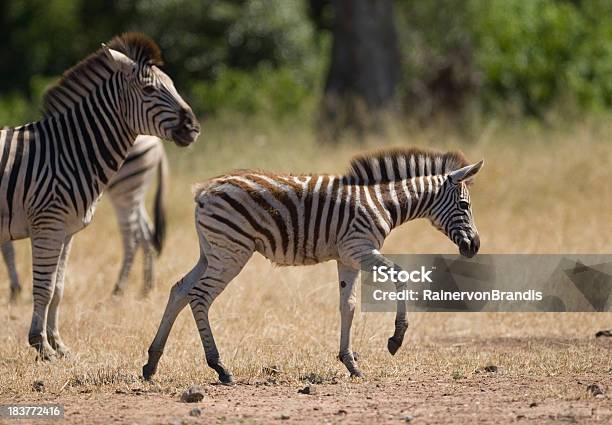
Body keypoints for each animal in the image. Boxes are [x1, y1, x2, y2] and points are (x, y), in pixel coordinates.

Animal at [3, 134, 170, 300]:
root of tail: (158, 144)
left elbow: (7, 249)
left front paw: (14, 290)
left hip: (124, 190)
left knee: (133, 237)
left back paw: (118, 290)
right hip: (134, 193)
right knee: (147, 232)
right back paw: (147, 288)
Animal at [143, 146, 482, 380]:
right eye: (464, 206)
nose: (475, 246)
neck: (383, 202)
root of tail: (204, 190)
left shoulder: (347, 257)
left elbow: (348, 306)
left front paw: (350, 363)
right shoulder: (360, 248)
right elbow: (401, 276)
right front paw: (396, 339)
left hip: (212, 250)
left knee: (179, 289)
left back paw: (151, 363)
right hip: (231, 251)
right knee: (200, 296)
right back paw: (219, 367)